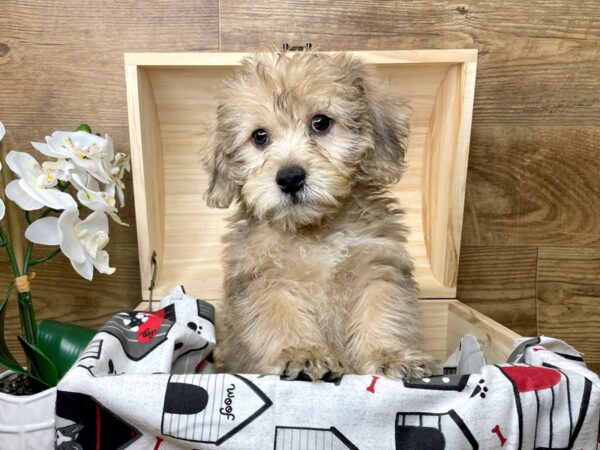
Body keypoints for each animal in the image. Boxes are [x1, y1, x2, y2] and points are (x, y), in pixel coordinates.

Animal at [204, 50, 434, 380]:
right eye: (259, 137)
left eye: (321, 123)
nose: (289, 178)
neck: (315, 230)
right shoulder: (265, 279)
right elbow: (282, 317)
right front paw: (303, 353)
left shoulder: (377, 267)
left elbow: (383, 314)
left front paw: (389, 355)